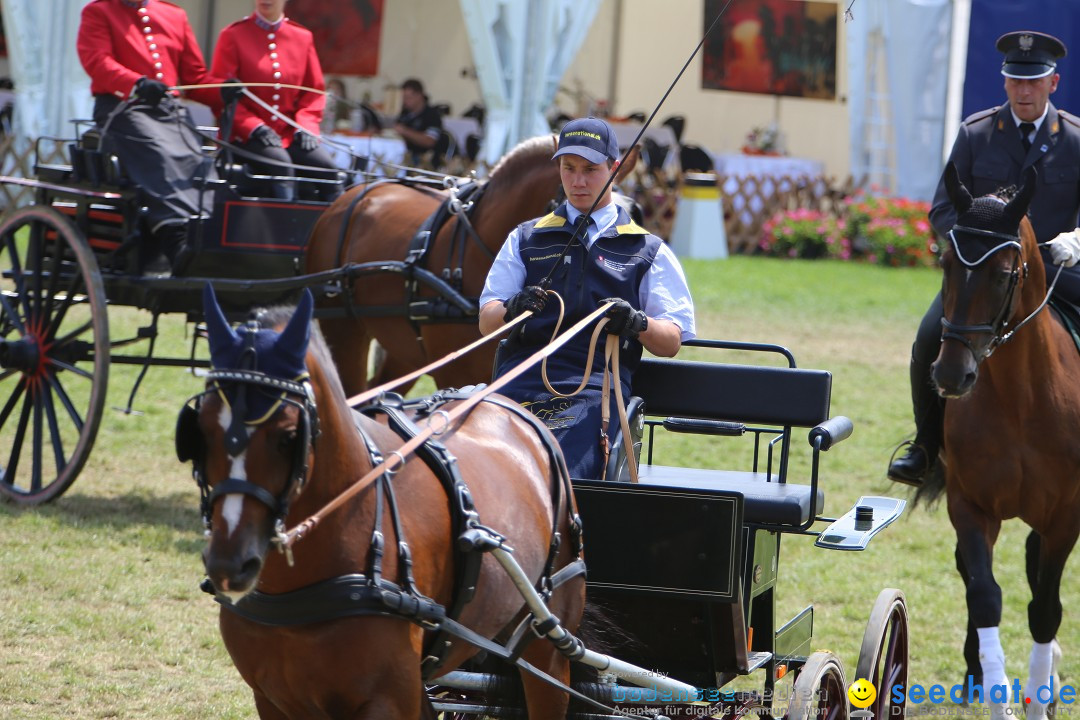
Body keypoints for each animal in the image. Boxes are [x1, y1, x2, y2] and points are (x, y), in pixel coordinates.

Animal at [179, 287, 583, 720]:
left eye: (288, 436)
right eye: (200, 430)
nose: (229, 564)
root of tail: (522, 414)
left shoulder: (387, 700)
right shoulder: (272, 699)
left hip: (549, 648)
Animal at [924, 165, 1080, 720]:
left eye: (1003, 273)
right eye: (945, 262)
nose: (951, 376)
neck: (1020, 396)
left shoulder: (1066, 515)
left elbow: (1045, 609)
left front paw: (1038, 699)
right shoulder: (970, 505)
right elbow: (985, 596)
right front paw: (996, 694)